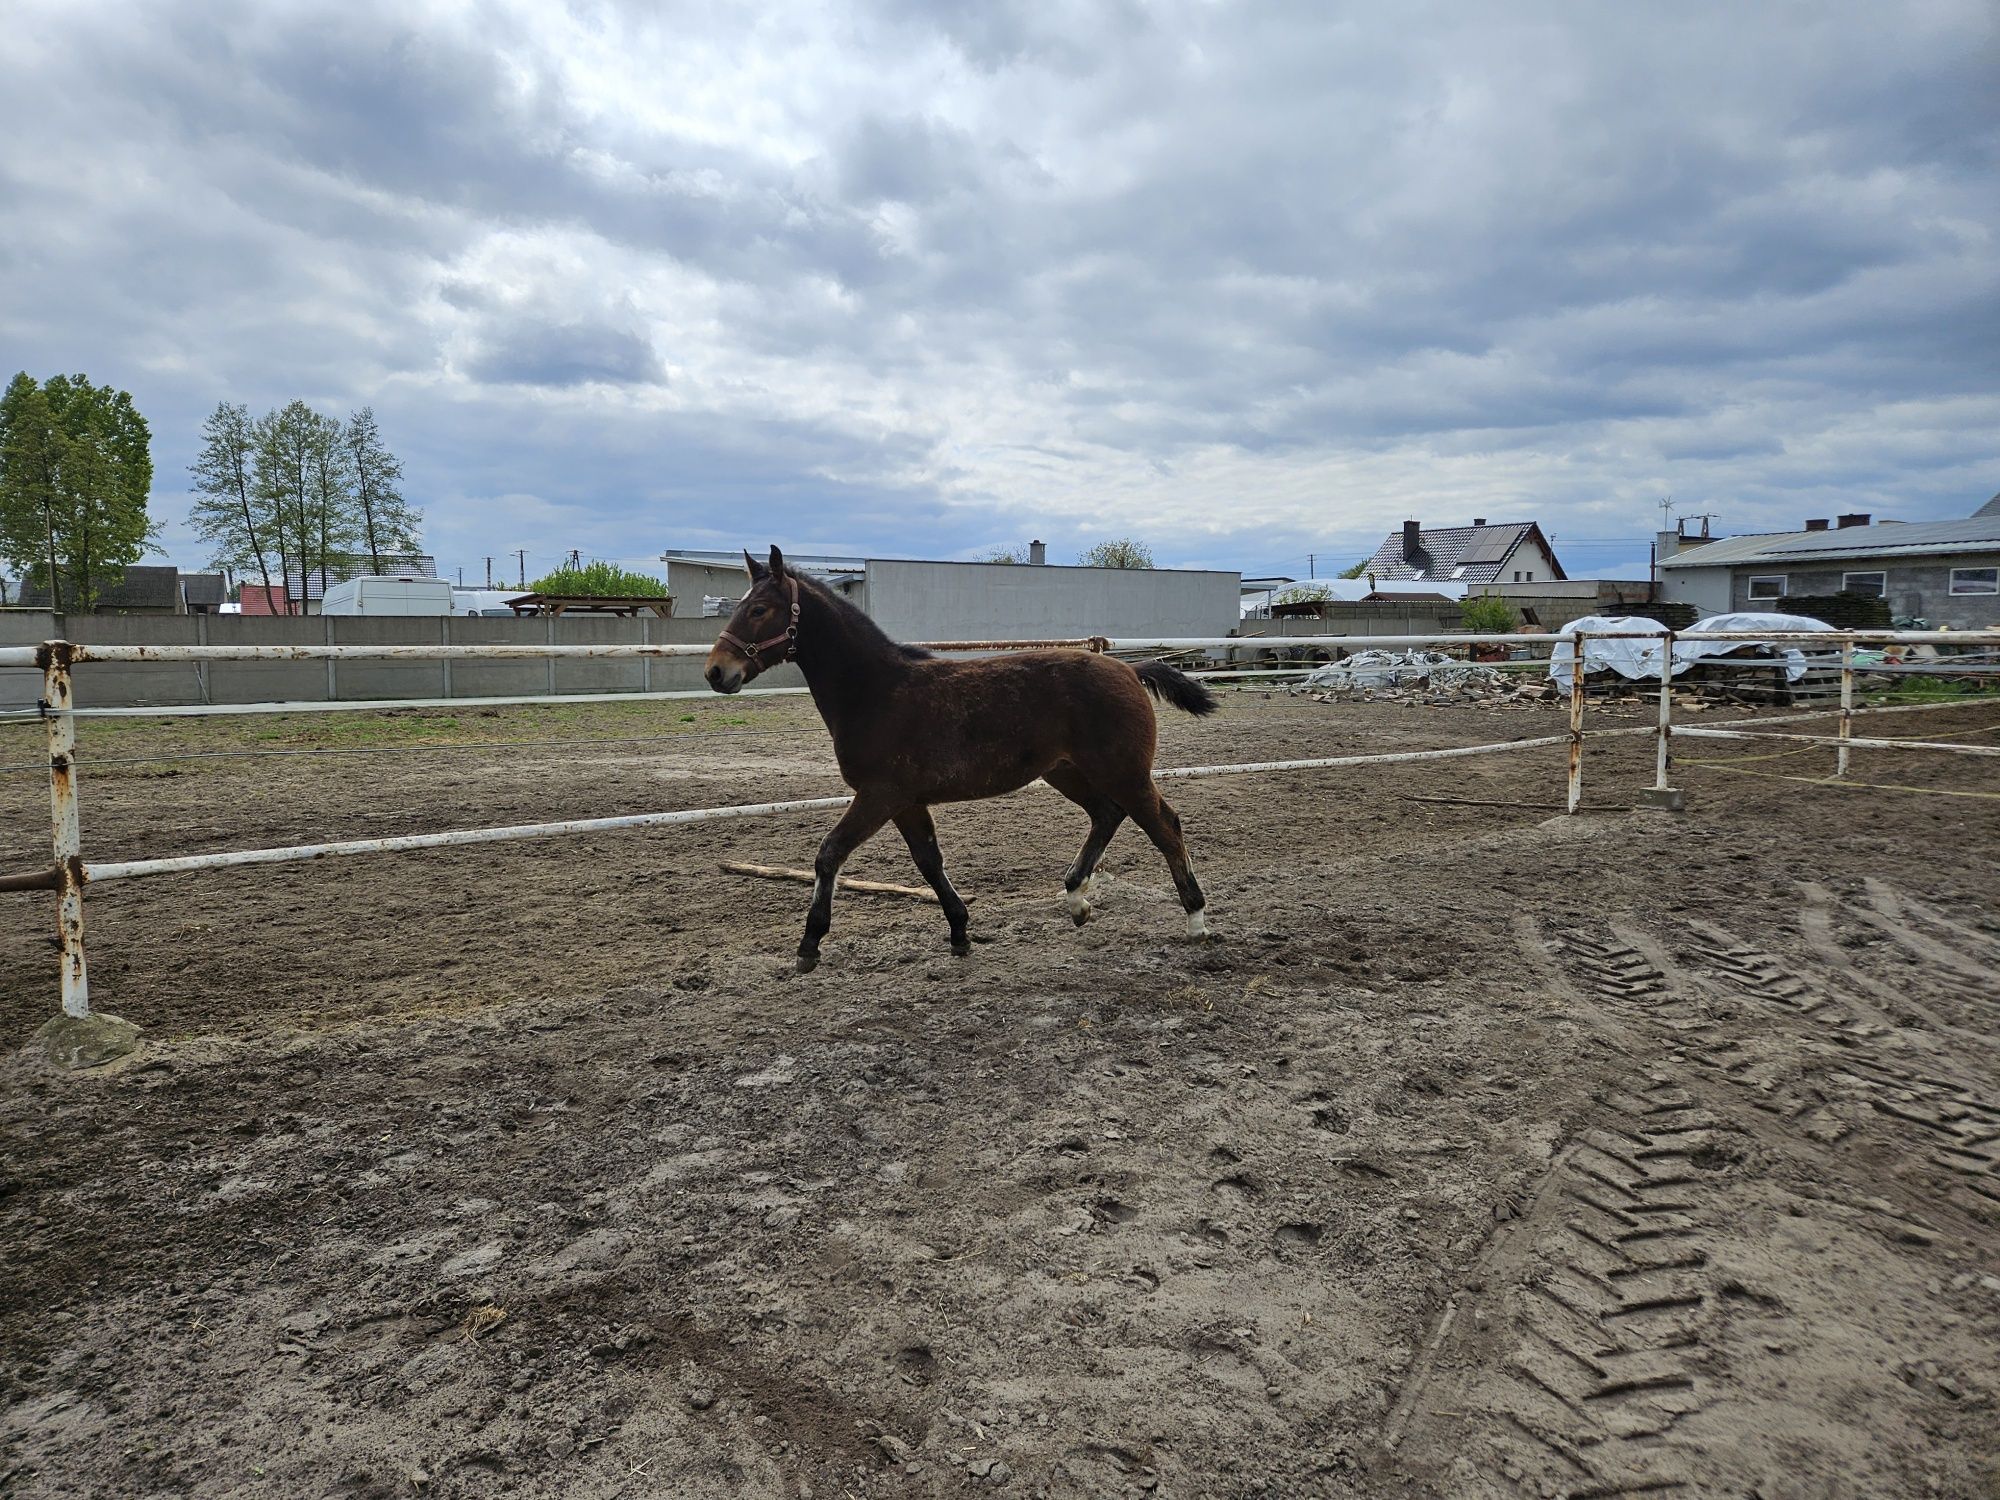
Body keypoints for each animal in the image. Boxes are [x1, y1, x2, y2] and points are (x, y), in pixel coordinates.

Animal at [704, 552, 1216, 976]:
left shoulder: (879, 794)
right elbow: (929, 861)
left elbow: (829, 853)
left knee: (1165, 826)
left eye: (758, 609)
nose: (716, 672)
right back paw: (1076, 901)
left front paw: (809, 945)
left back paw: (1196, 920)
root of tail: (1129, 668)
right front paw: (959, 932)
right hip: (1067, 771)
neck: (876, 692)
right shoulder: (906, 802)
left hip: (1124, 772)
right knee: (1107, 814)